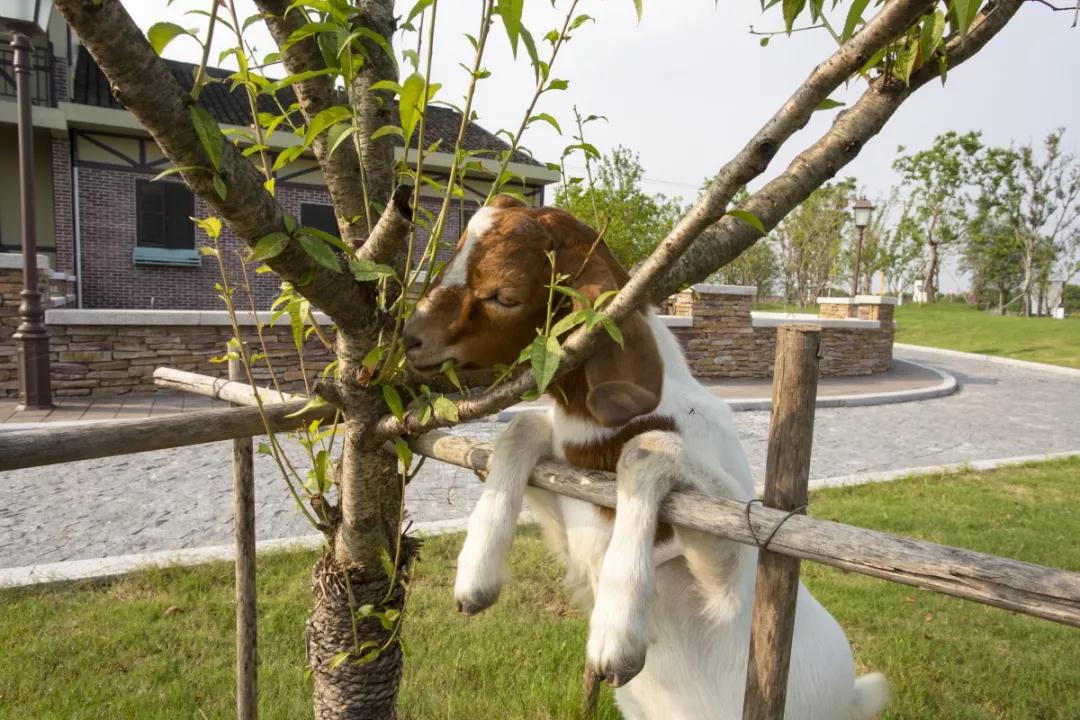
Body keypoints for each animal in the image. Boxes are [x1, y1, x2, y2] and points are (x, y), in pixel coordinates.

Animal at [401, 194, 889, 716]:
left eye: (504, 295)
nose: (409, 338)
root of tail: (851, 696)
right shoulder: (569, 521)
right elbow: (523, 426)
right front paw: (476, 579)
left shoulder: (733, 560)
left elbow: (645, 448)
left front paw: (615, 638)